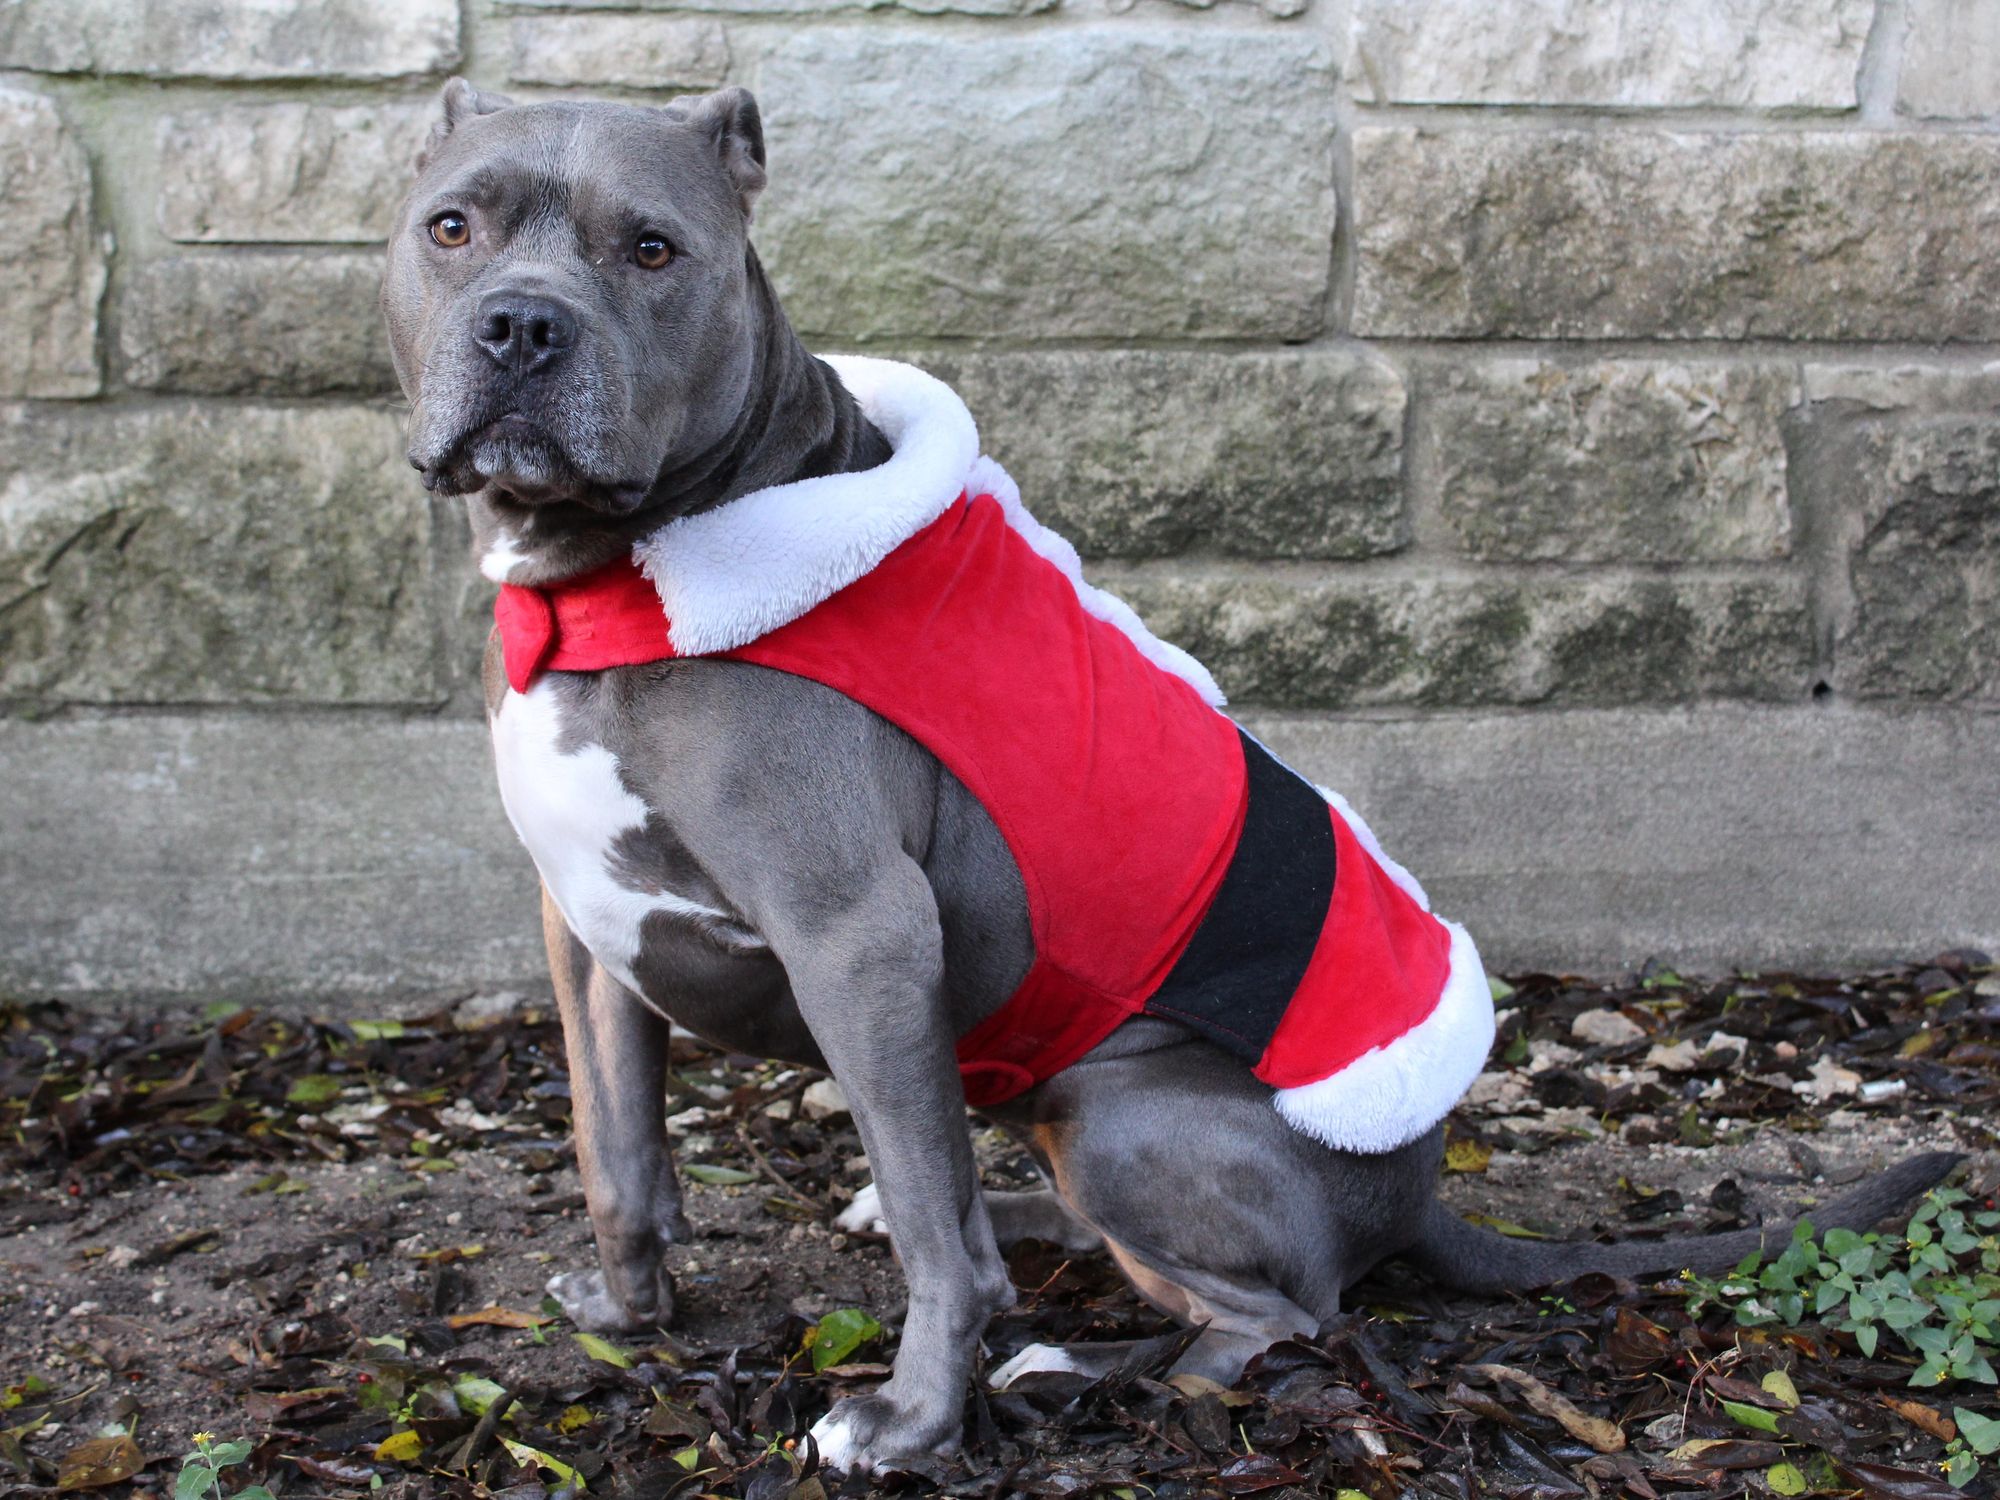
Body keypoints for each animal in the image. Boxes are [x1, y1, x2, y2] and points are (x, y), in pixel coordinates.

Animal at [381, 80, 1960, 1472]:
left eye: (651, 248)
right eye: (452, 226)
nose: (523, 325)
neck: (615, 573)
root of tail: (1419, 1184)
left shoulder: (858, 938)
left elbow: (928, 1235)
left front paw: (910, 1422)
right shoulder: (583, 926)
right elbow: (617, 1151)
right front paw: (627, 1310)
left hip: (1124, 1114)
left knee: (1269, 1318)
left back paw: (1067, 1360)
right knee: (1028, 1210)